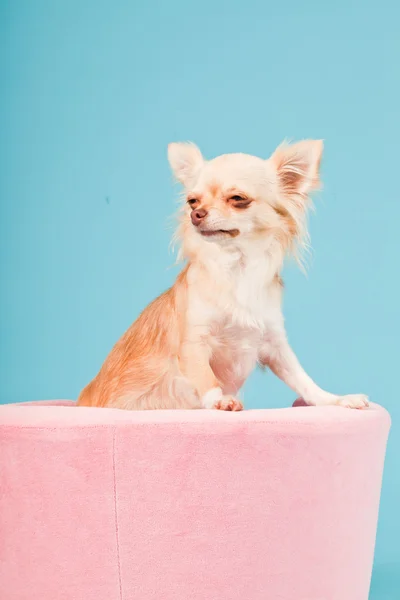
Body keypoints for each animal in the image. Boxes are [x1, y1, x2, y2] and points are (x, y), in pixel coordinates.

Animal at [77, 141, 368, 412]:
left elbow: (303, 380)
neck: (237, 268)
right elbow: (207, 378)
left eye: (238, 198)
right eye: (192, 201)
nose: (195, 214)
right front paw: (219, 401)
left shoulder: (275, 344)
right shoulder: (194, 343)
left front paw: (335, 399)